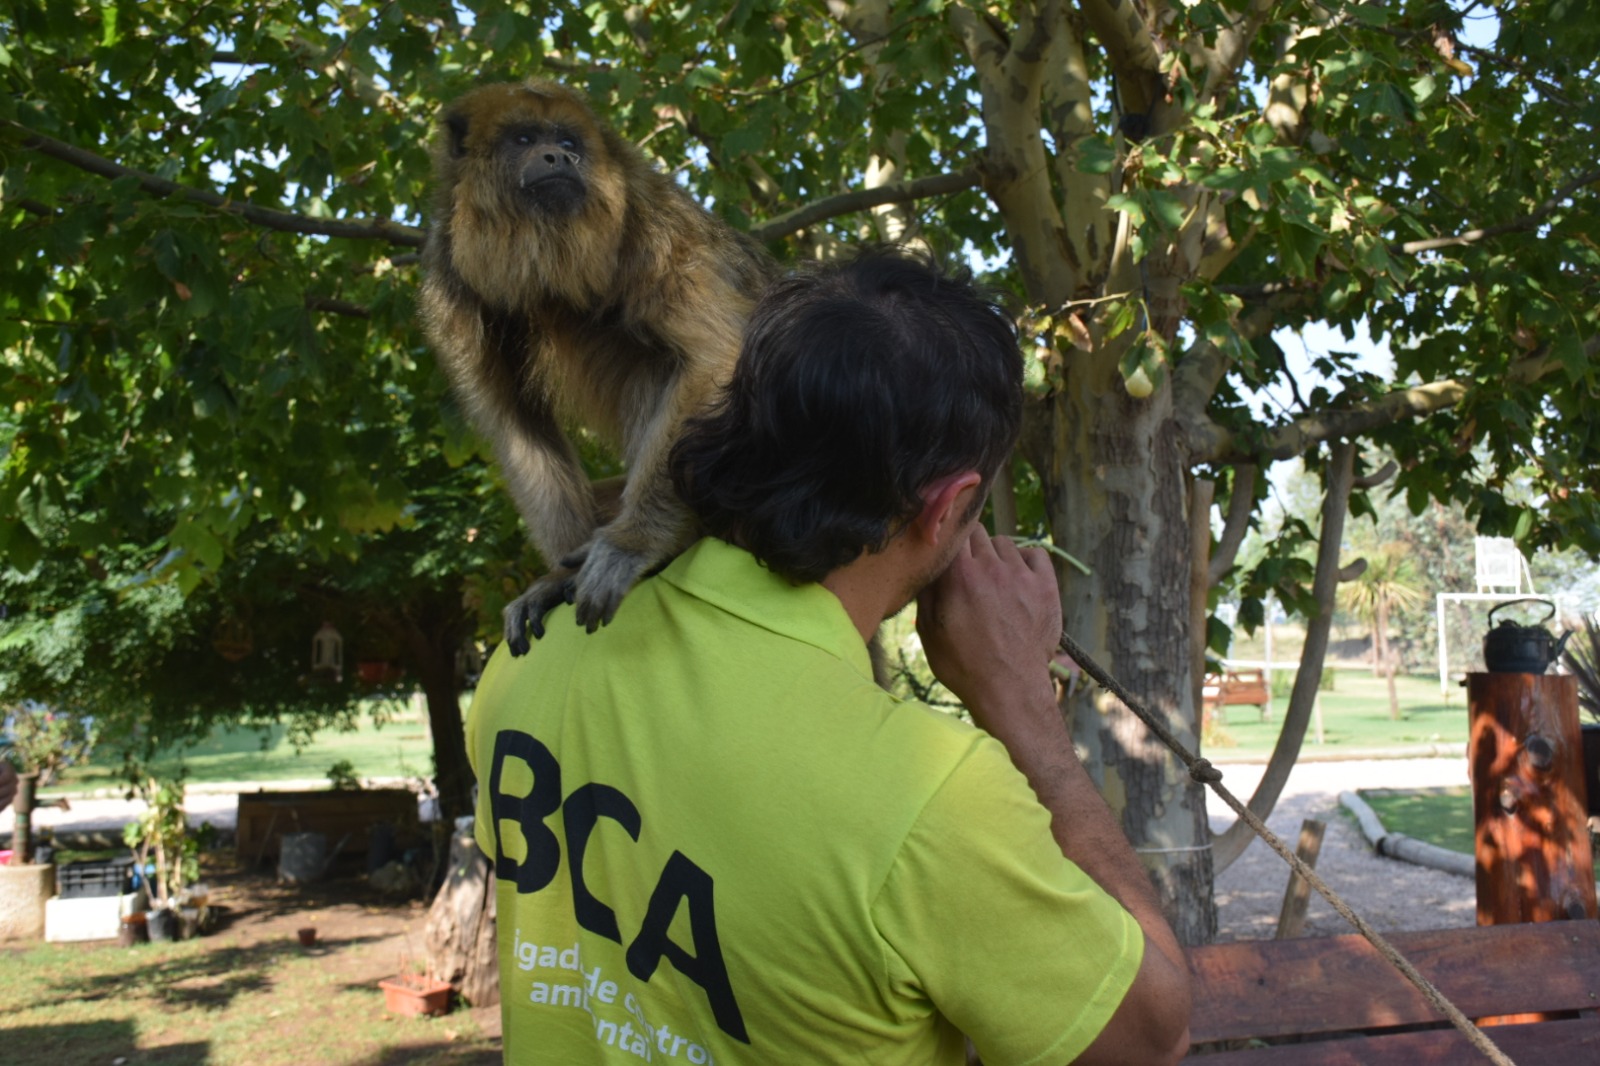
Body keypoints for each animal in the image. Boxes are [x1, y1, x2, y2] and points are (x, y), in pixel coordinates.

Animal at [422, 80, 777, 646]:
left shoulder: (658, 227)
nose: (560, 157)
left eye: (569, 141)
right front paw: (556, 577)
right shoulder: (447, 283)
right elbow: (516, 424)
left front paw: (633, 542)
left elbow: (719, 354)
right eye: (525, 138)